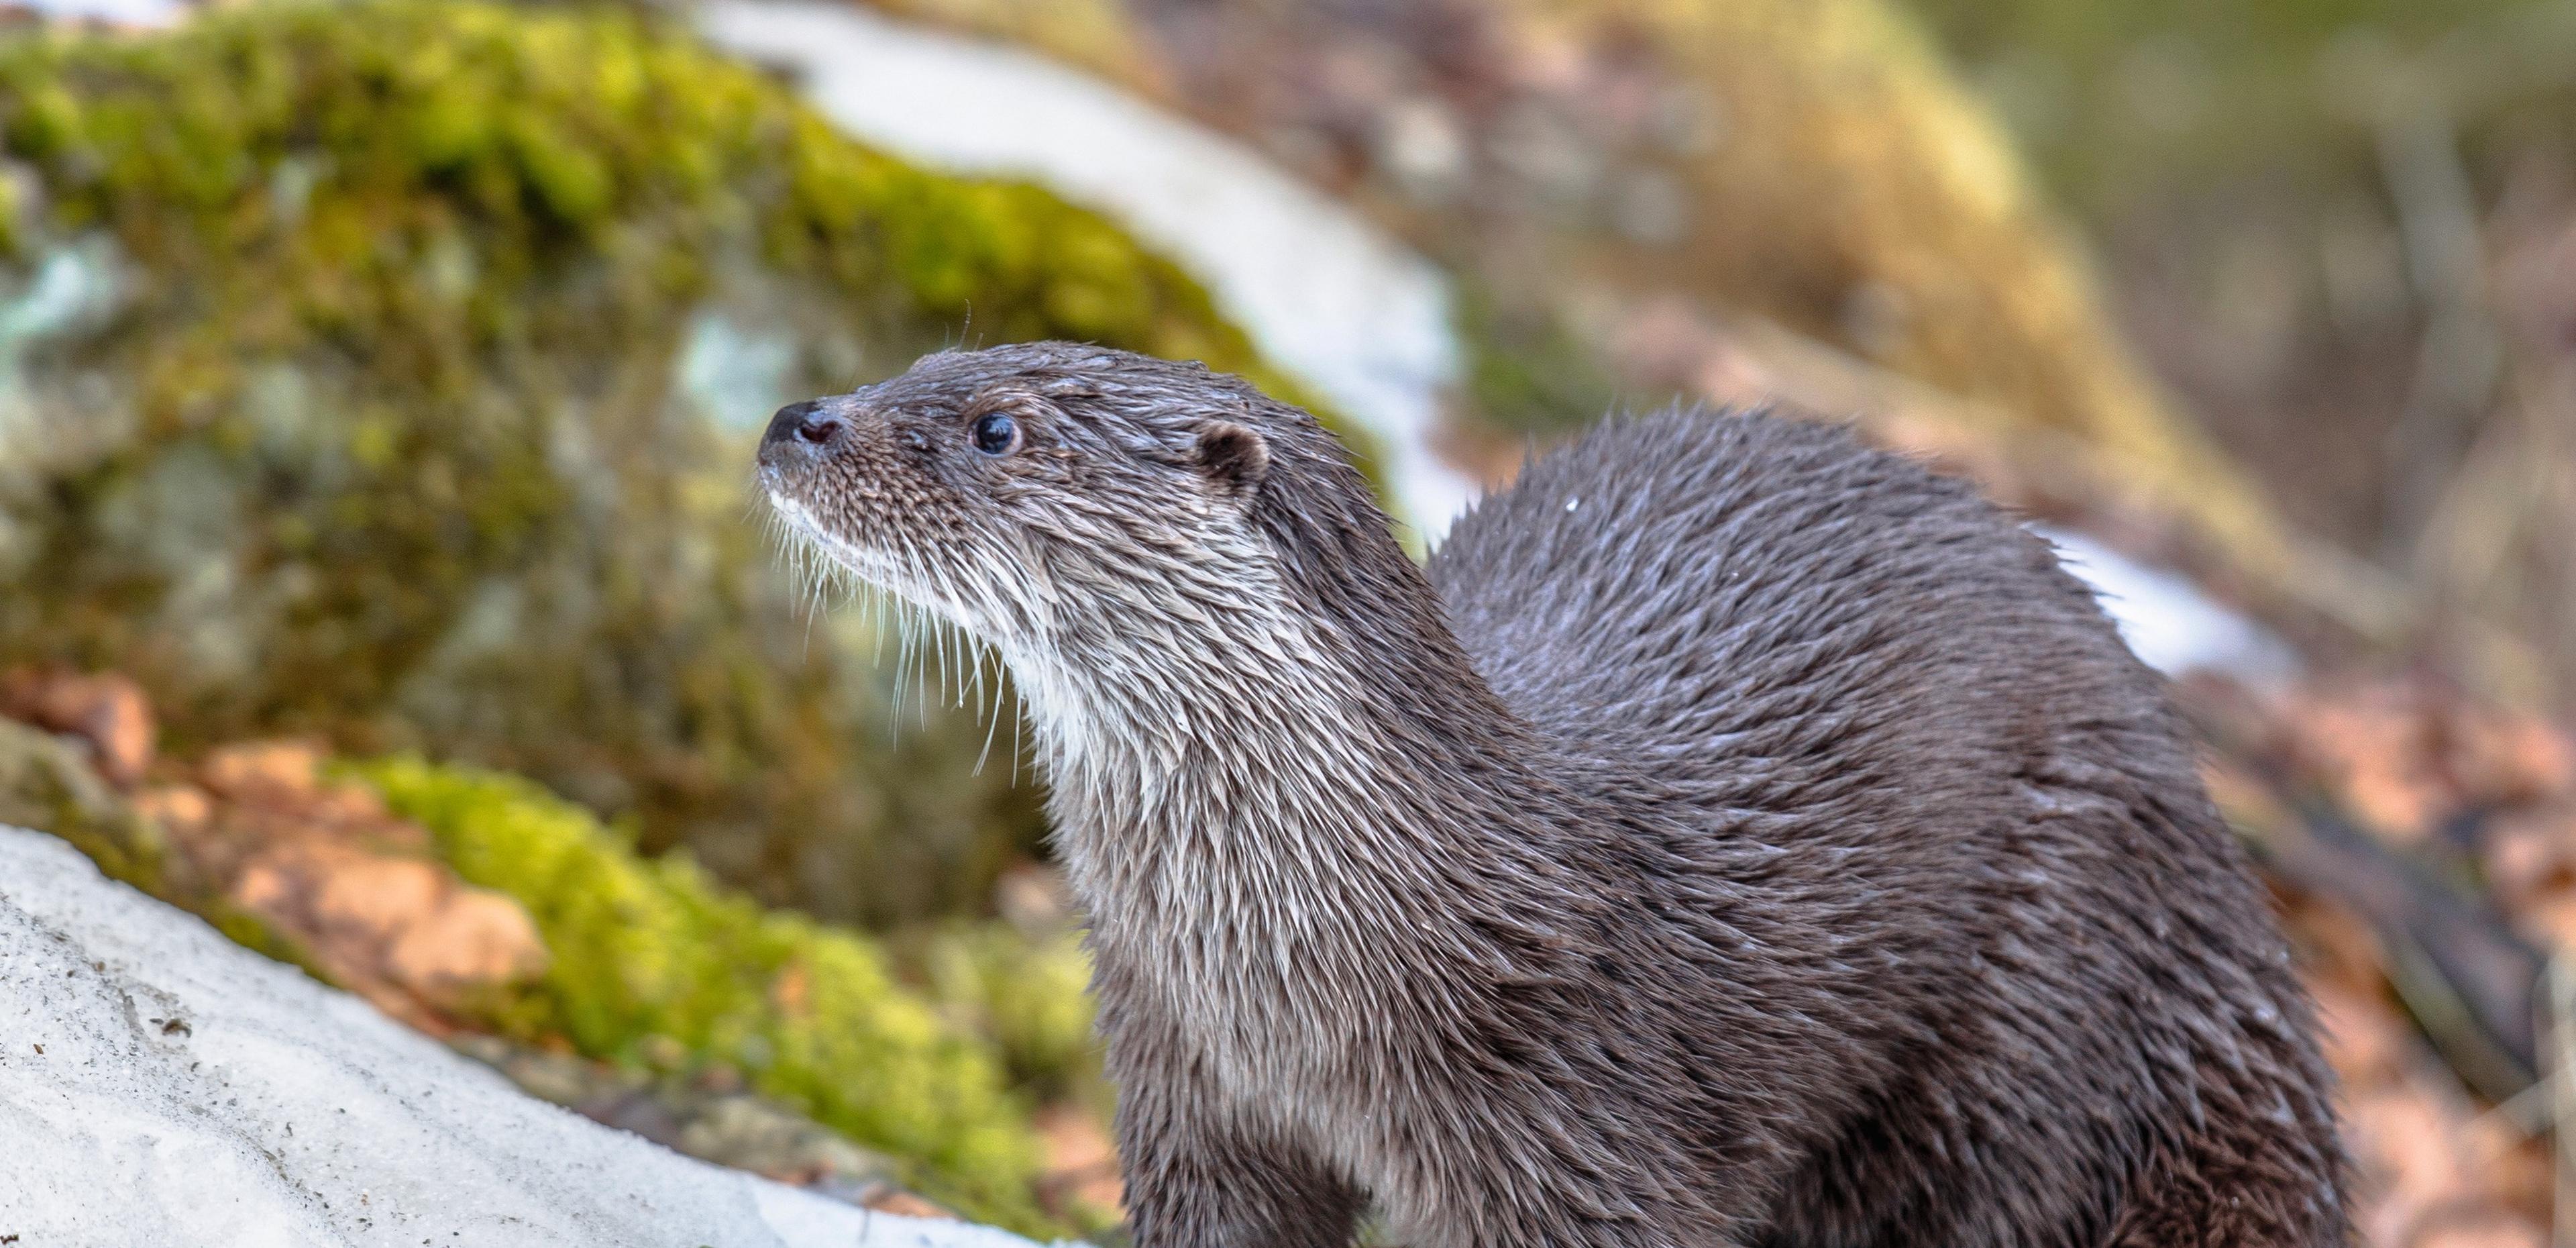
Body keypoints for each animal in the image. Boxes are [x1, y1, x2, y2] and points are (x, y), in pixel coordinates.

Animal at [756, 342, 2348, 1248]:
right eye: (917, 359)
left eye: (999, 428)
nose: (799, 421)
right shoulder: (1188, 1094)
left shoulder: (1589, 1138)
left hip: (2025, 1040)